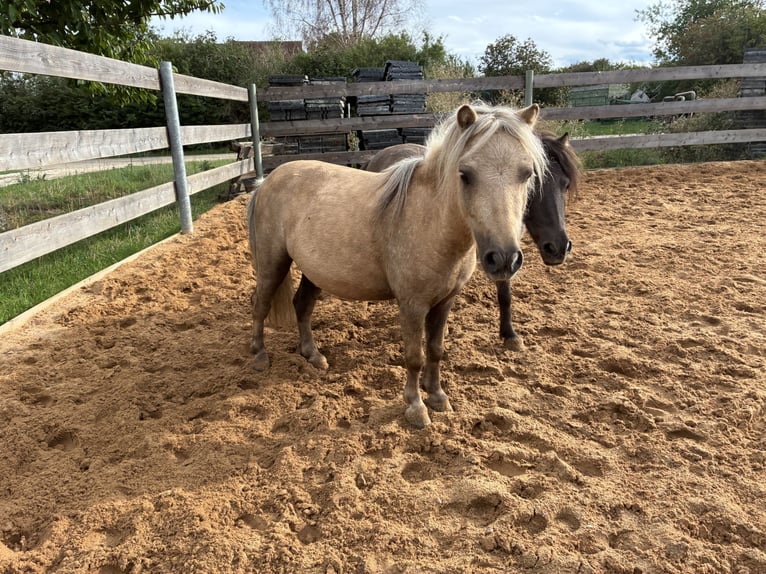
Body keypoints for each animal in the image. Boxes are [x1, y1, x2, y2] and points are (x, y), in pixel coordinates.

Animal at [247, 103, 548, 428]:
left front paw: (437, 396)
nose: (504, 258)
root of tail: (267, 181)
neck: (430, 221)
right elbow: (414, 356)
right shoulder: (413, 305)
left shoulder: (445, 301)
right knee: (261, 305)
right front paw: (416, 407)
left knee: (302, 305)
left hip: (313, 272)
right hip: (272, 263)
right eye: (465, 174)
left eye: (527, 174)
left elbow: (436, 350)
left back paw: (313, 356)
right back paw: (259, 356)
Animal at [364, 130, 581, 350]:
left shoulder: (504, 255)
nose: (559, 248)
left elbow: (505, 294)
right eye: (534, 184)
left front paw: (509, 334)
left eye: (565, 184)